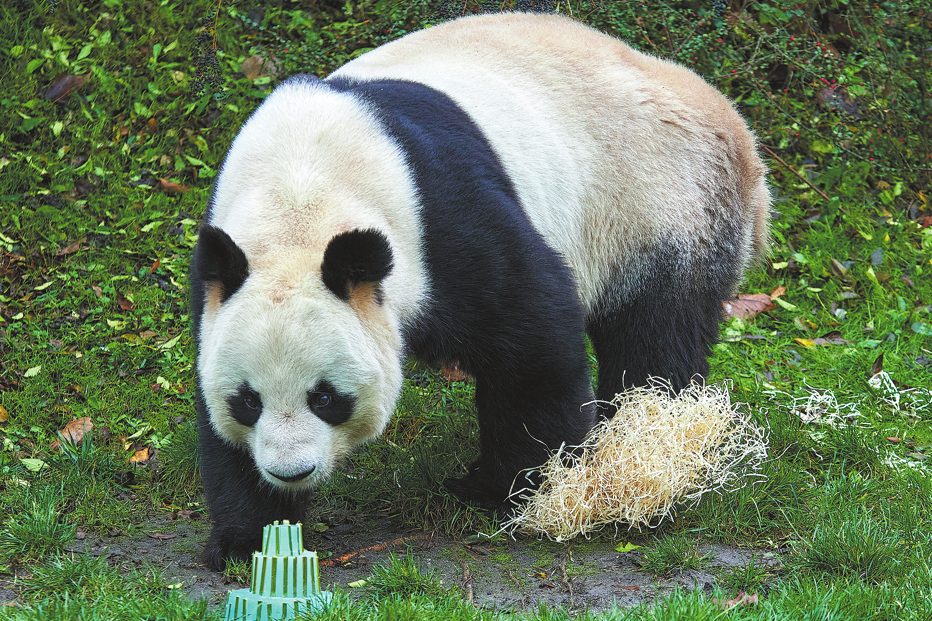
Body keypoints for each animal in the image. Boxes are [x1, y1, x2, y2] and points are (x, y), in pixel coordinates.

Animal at [190, 12, 770, 570]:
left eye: (326, 397)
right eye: (248, 402)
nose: (291, 470)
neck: (300, 193)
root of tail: (735, 128)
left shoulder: (439, 222)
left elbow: (531, 335)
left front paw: (513, 488)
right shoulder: (222, 269)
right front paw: (249, 536)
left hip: (661, 201)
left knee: (656, 335)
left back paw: (644, 437)